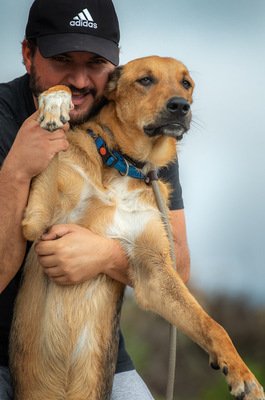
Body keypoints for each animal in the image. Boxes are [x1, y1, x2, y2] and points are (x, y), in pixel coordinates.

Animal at [9, 57, 262, 400]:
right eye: (145, 80)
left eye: (186, 84)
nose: (180, 106)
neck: (123, 164)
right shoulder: (37, 220)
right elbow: (54, 141)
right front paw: (55, 102)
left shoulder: (154, 271)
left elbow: (212, 325)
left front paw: (242, 373)